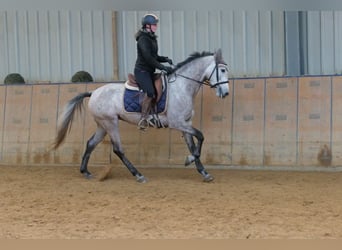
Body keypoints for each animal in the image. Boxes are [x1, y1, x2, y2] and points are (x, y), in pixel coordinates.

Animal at [52, 48, 230, 183]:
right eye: (222, 70)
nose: (226, 93)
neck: (182, 87)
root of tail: (93, 92)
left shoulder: (185, 123)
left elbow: (194, 145)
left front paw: (204, 172)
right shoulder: (177, 122)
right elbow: (201, 136)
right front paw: (189, 160)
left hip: (102, 125)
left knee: (90, 143)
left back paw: (86, 172)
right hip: (110, 123)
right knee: (118, 149)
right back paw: (138, 175)